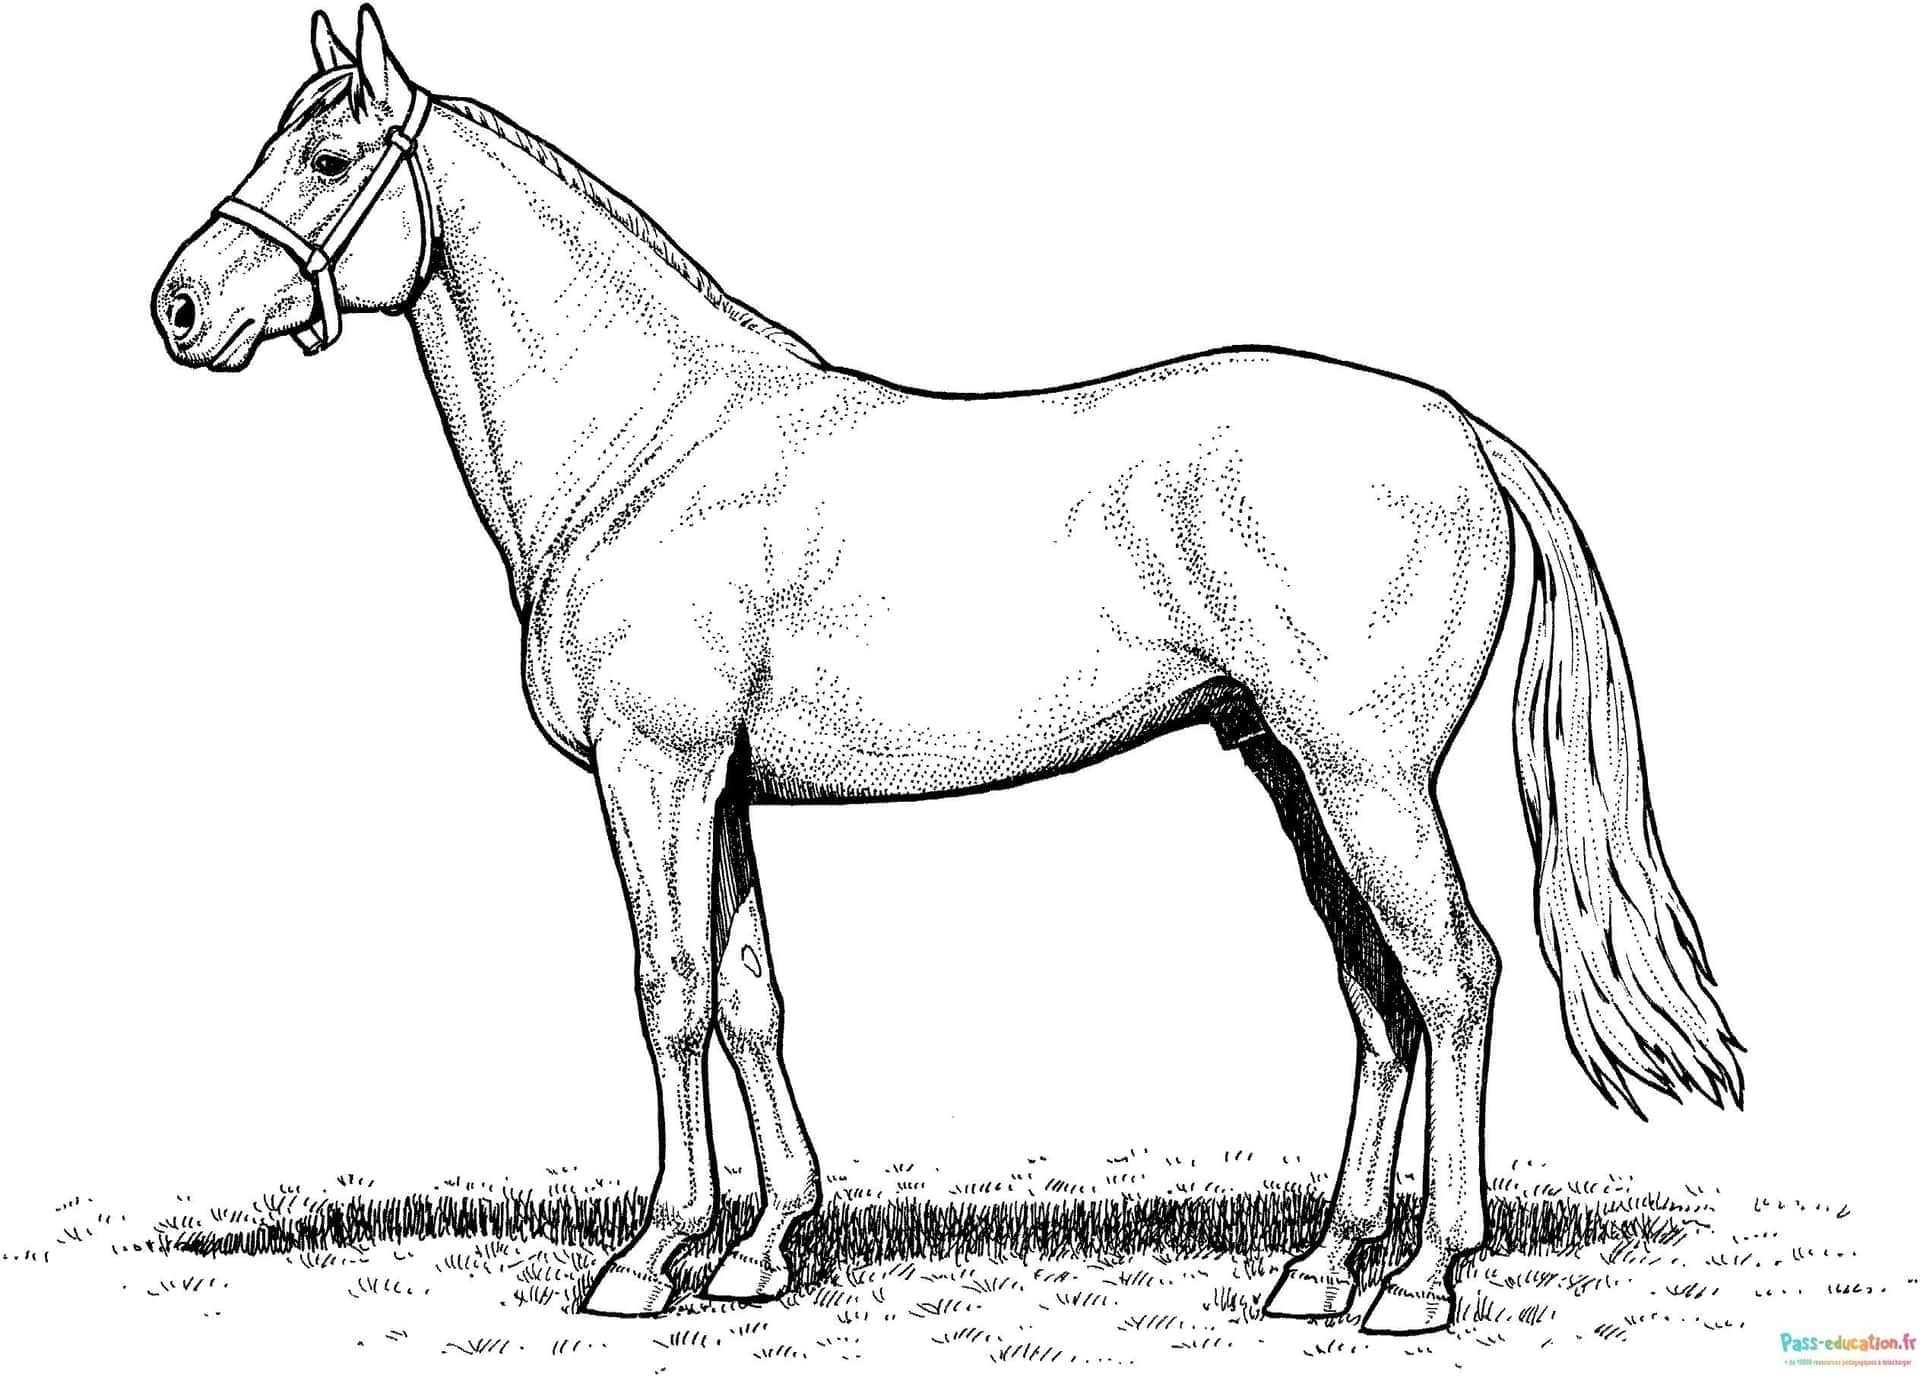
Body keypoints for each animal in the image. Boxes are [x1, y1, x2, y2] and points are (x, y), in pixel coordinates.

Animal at [151, 7, 1743, 1335]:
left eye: (331, 154)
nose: (180, 307)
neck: (649, 446)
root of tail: (1462, 432)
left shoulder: (654, 769)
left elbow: (669, 989)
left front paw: (648, 1257)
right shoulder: (722, 789)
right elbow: (750, 995)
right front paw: (761, 1247)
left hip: (1368, 777)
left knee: (1456, 976)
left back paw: (1422, 1280)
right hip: (1300, 777)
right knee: (1380, 998)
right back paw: (1321, 1265)